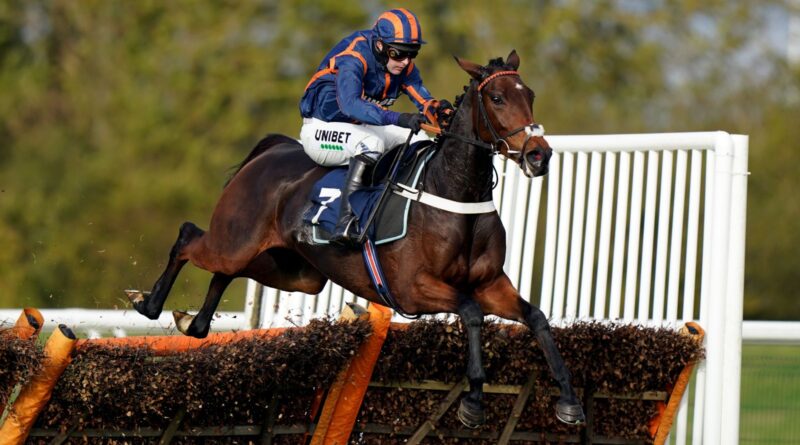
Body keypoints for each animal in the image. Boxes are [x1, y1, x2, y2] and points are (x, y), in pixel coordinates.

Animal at [128, 50, 584, 424]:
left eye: (530, 94)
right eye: (498, 99)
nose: (539, 155)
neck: (452, 191)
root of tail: (272, 150)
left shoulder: (491, 284)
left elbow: (537, 318)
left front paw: (569, 400)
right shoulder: (414, 288)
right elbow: (471, 314)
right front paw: (472, 401)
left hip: (293, 271)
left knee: (228, 271)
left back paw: (194, 321)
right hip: (236, 241)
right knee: (189, 237)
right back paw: (148, 303)